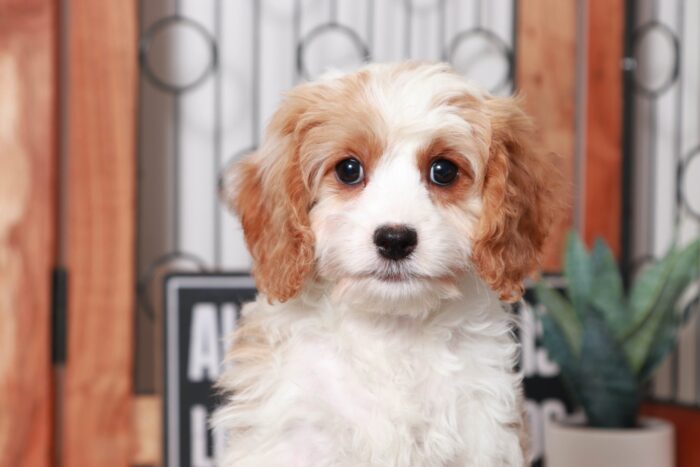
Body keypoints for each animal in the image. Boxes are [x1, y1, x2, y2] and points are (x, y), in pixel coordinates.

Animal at [216, 63, 560, 467]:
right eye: (349, 169)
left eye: (443, 170)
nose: (395, 239)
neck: (392, 328)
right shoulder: (293, 430)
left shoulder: (483, 432)